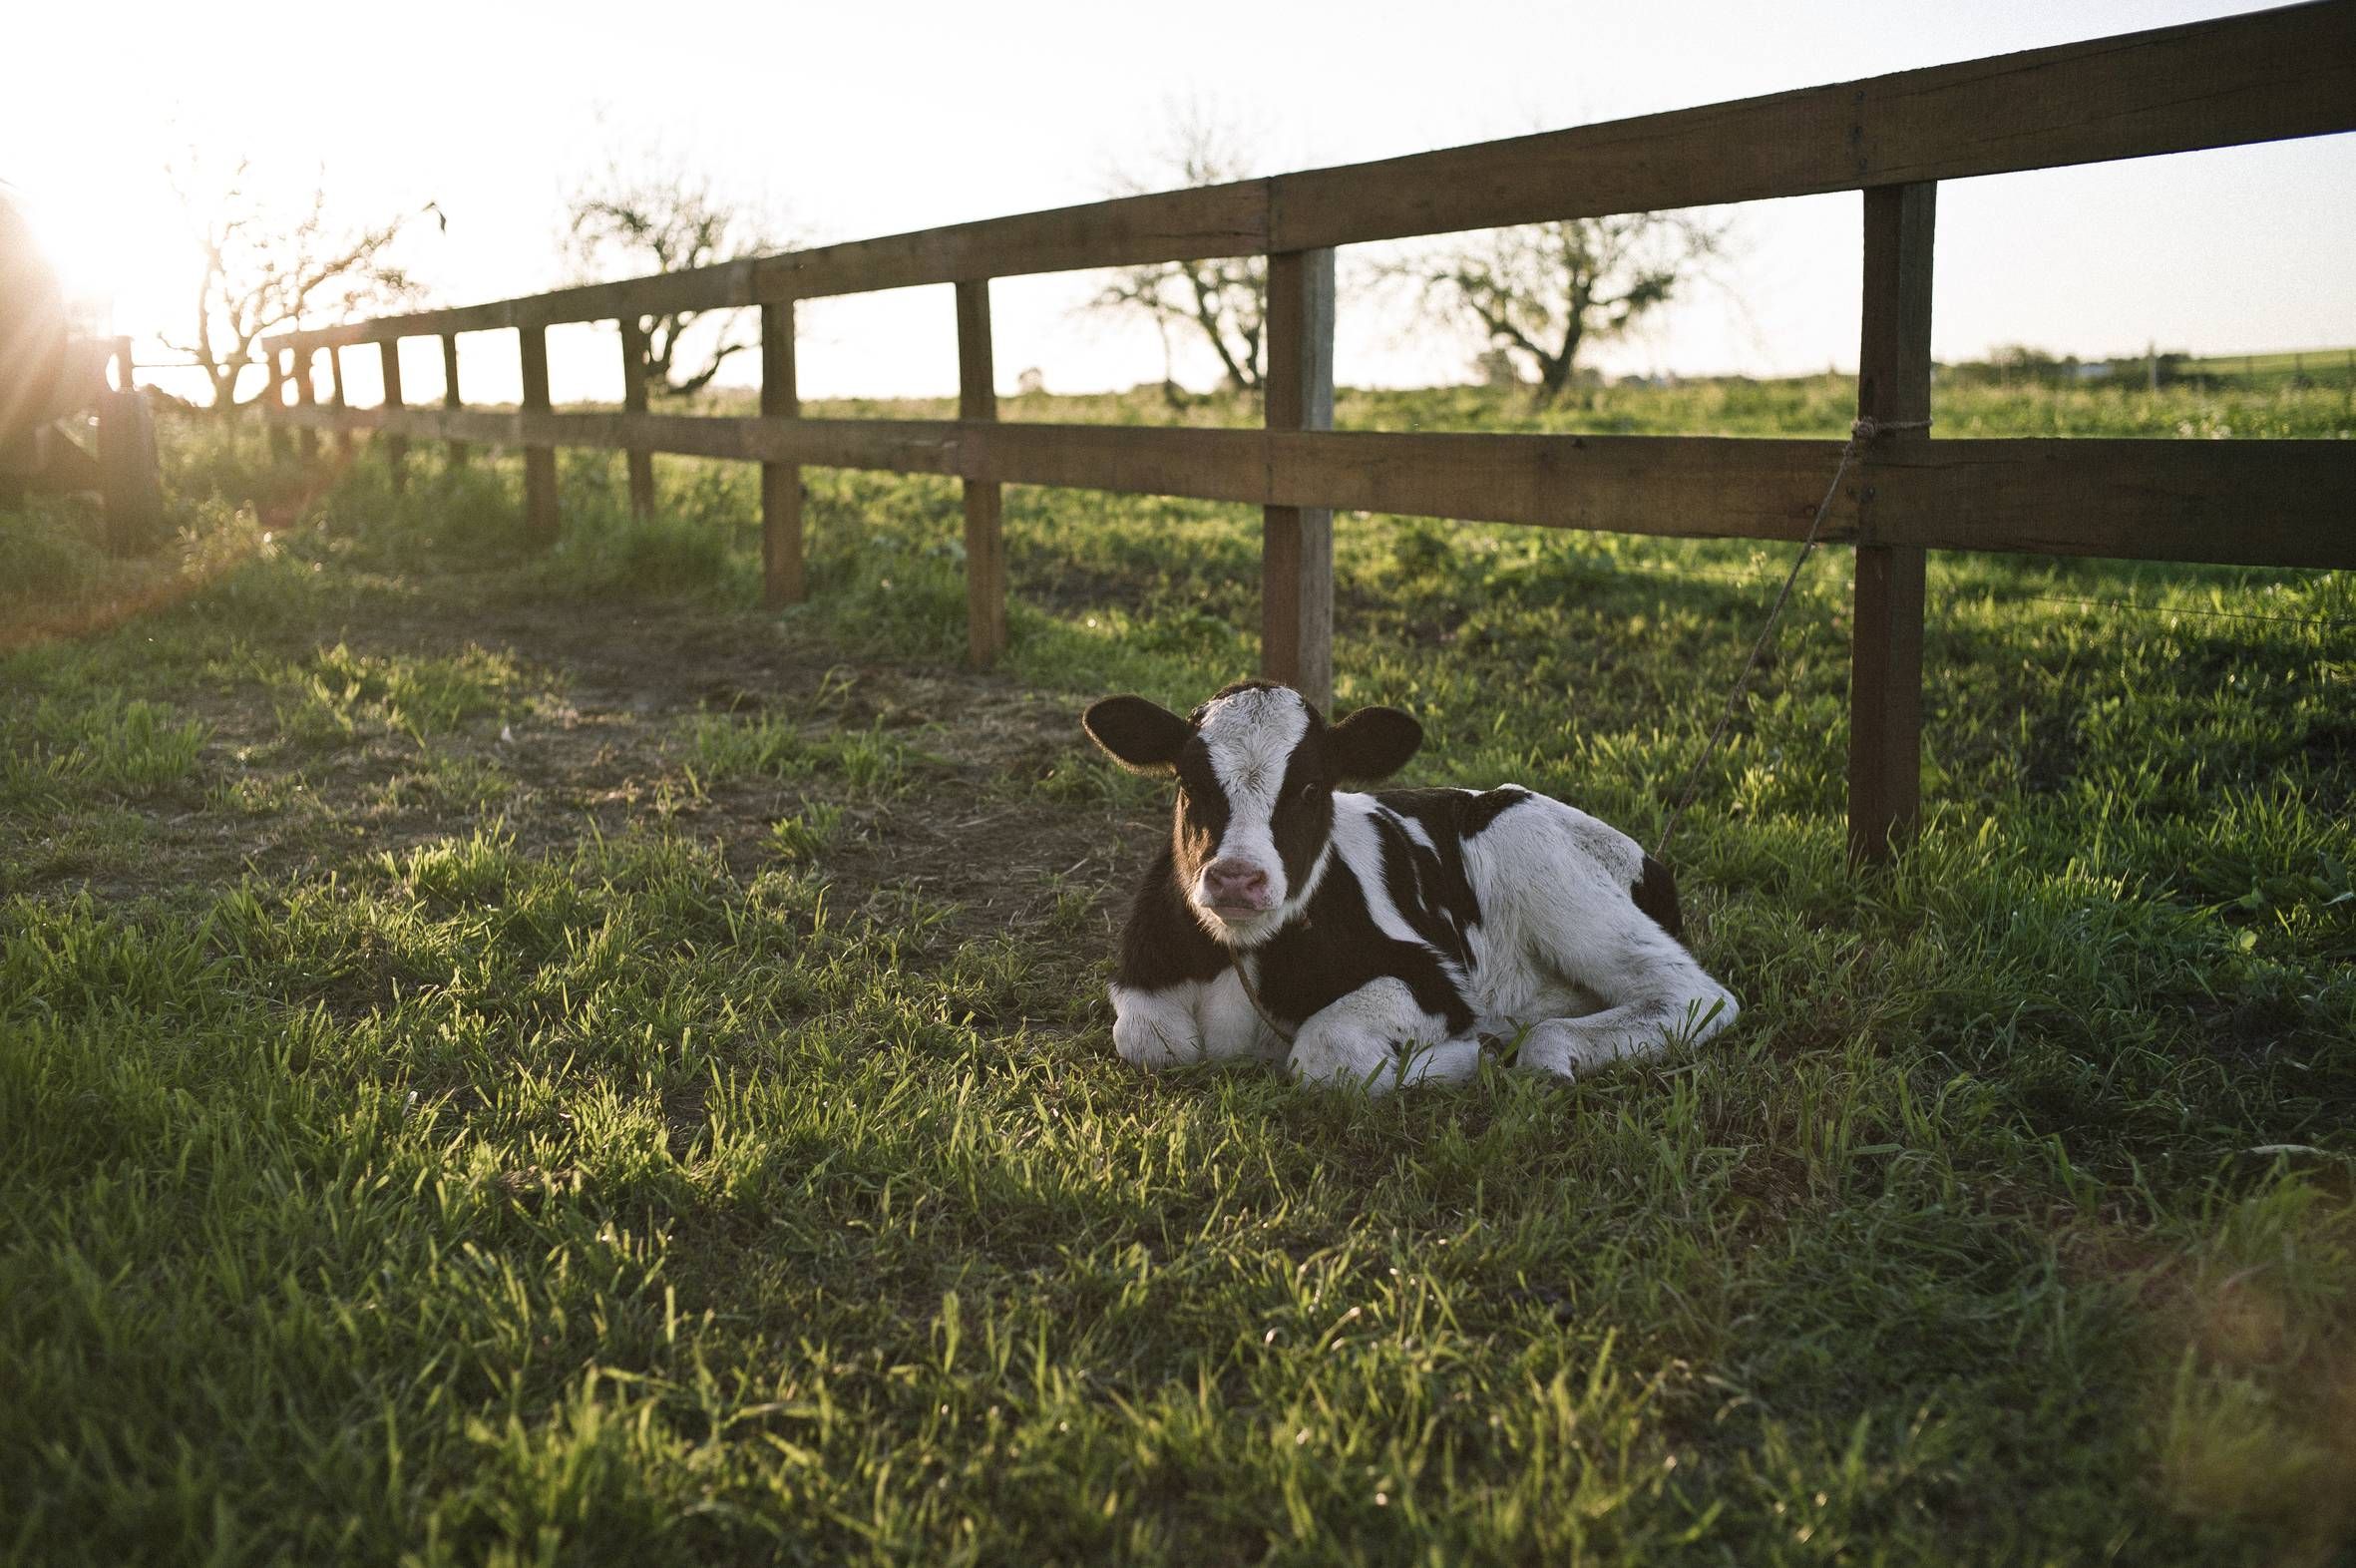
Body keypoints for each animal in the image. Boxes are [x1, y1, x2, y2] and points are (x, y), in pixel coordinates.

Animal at [1083, 677, 1734, 1092]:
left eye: (1313, 787)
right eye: (1188, 782)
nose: (1237, 880)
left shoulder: (1435, 980)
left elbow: (1327, 1050)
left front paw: (1466, 1055)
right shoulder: (1143, 979)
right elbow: (1150, 1041)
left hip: (1540, 860)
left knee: (1692, 994)